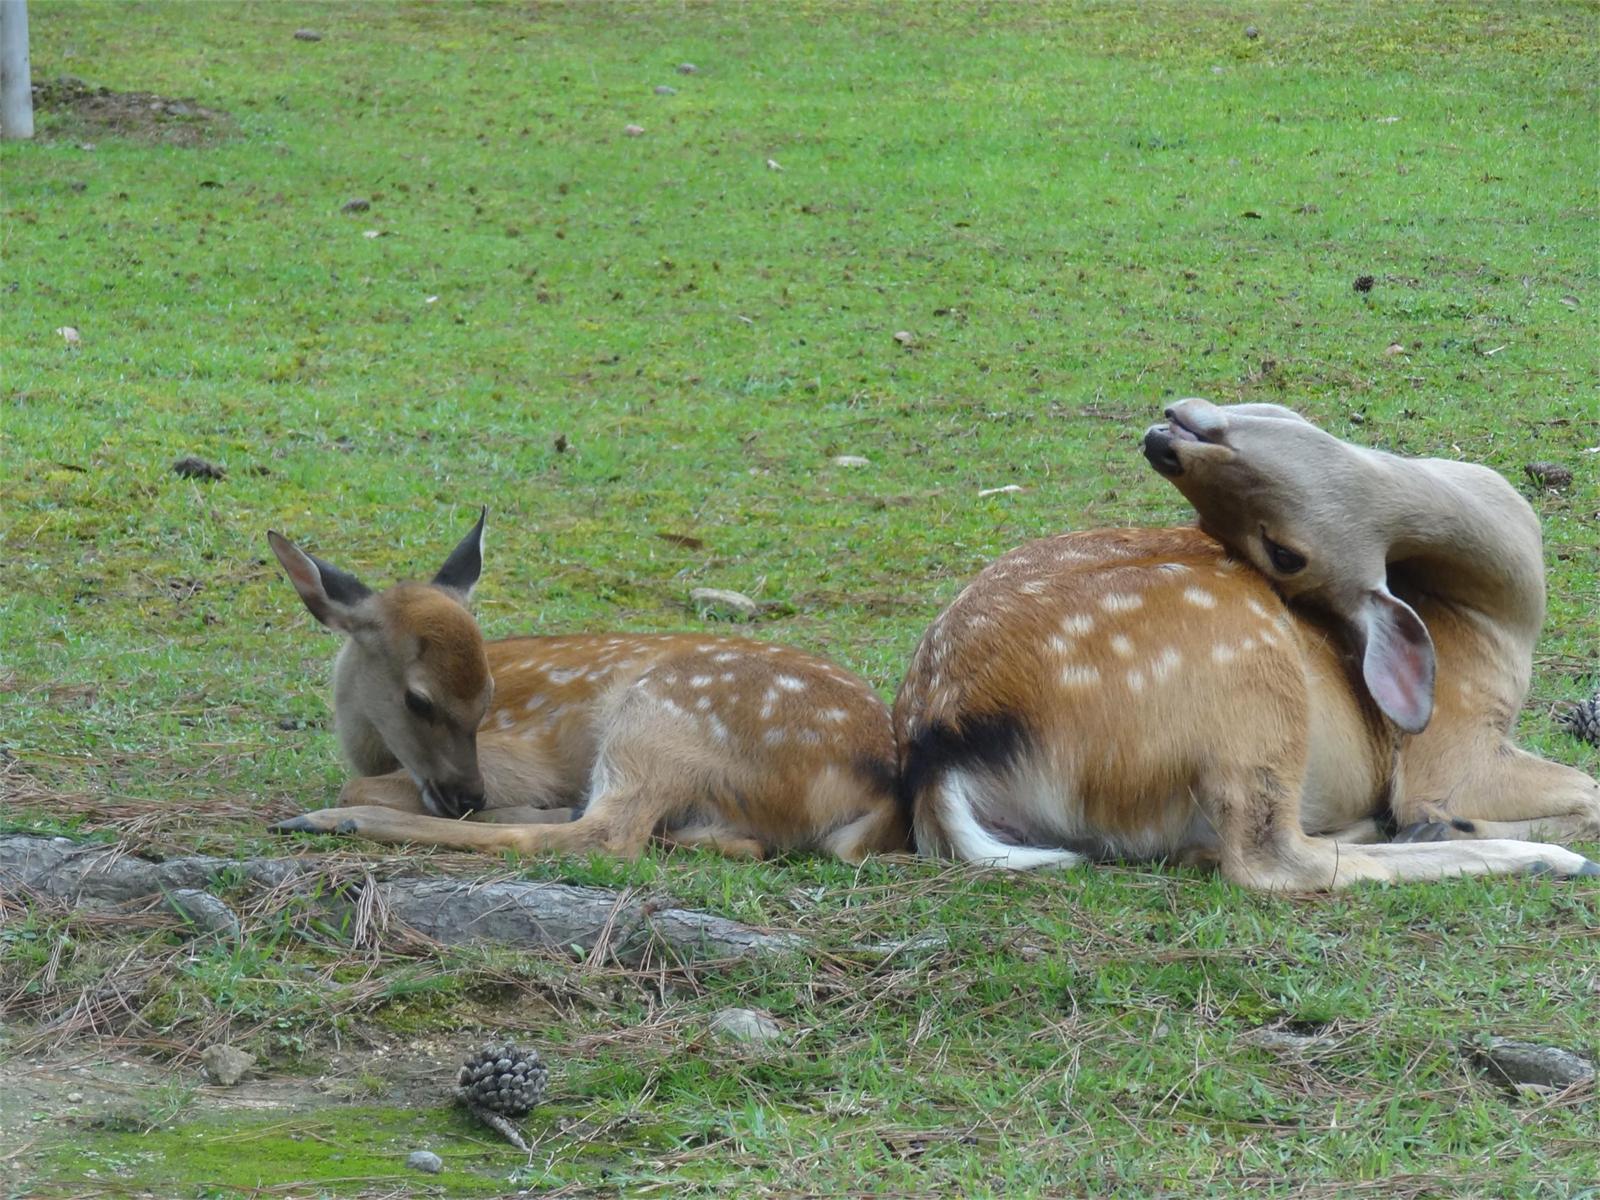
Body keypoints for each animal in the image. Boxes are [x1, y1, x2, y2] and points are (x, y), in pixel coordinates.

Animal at [268, 512, 908, 857]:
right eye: (418, 700)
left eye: (489, 697)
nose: (470, 795)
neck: (368, 748)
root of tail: (881, 789)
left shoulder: (517, 754)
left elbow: (355, 784)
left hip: (659, 714)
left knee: (607, 835)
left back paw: (329, 820)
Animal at [902, 400, 1600, 889]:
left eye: (1283, 553)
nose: (1164, 443)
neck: (1500, 624)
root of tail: (941, 752)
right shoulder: (1450, 747)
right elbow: (1587, 788)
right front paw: (1450, 822)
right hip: (1250, 678)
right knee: (1270, 861)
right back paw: (1540, 858)